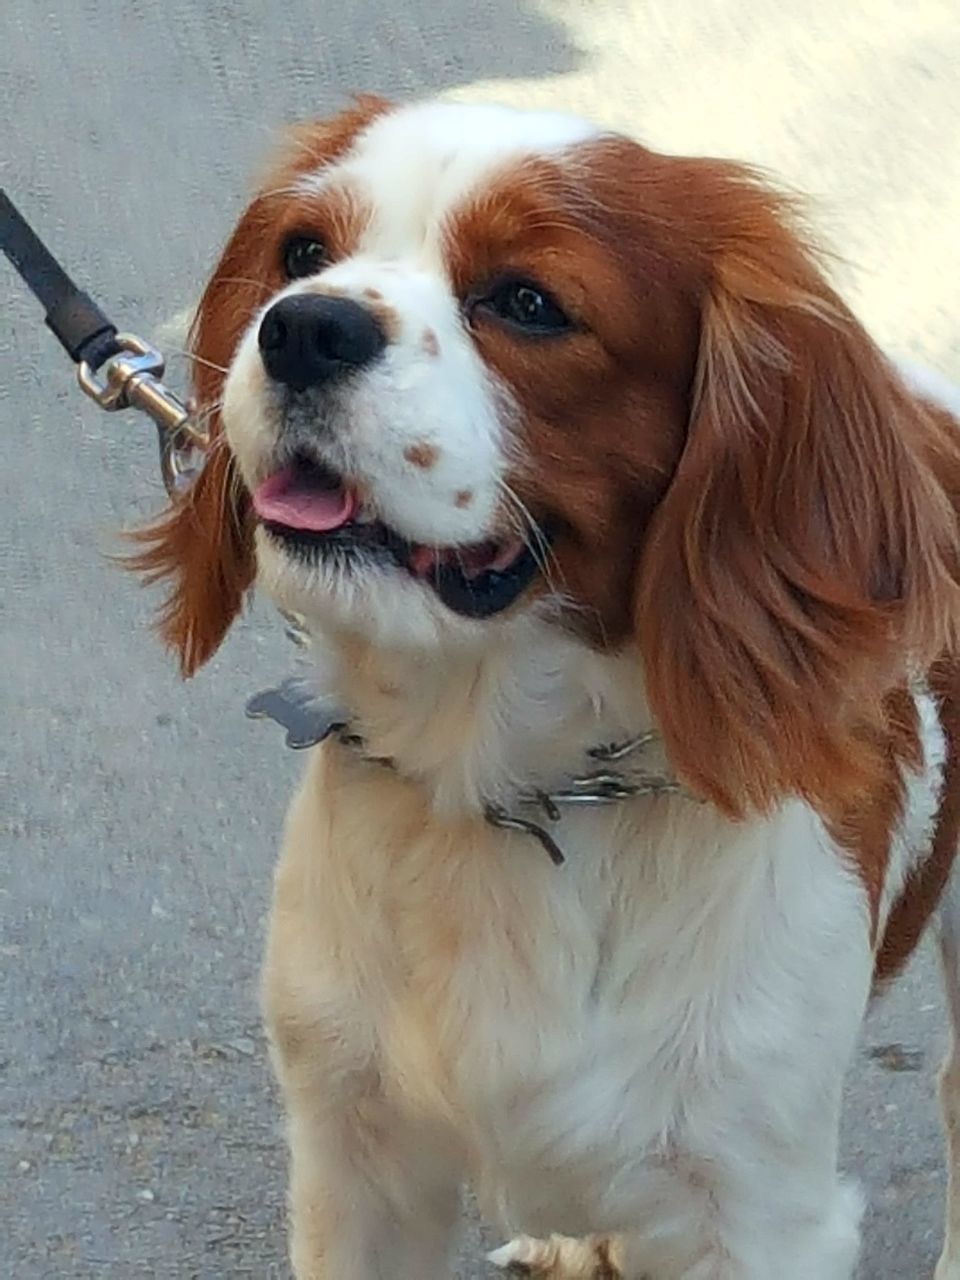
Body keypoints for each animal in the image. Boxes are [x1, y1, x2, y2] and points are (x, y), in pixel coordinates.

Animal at [131, 94, 960, 1274]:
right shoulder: (353, 1166)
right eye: (301, 253)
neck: (508, 780)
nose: (303, 327)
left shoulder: (762, 1213)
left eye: (527, 302)